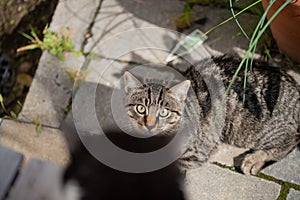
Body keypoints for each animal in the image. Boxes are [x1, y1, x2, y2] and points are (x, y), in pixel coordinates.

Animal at [123, 55, 298, 175]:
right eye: (141, 109)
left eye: (164, 112)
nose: (150, 125)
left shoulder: (195, 152)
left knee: (290, 141)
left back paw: (254, 160)